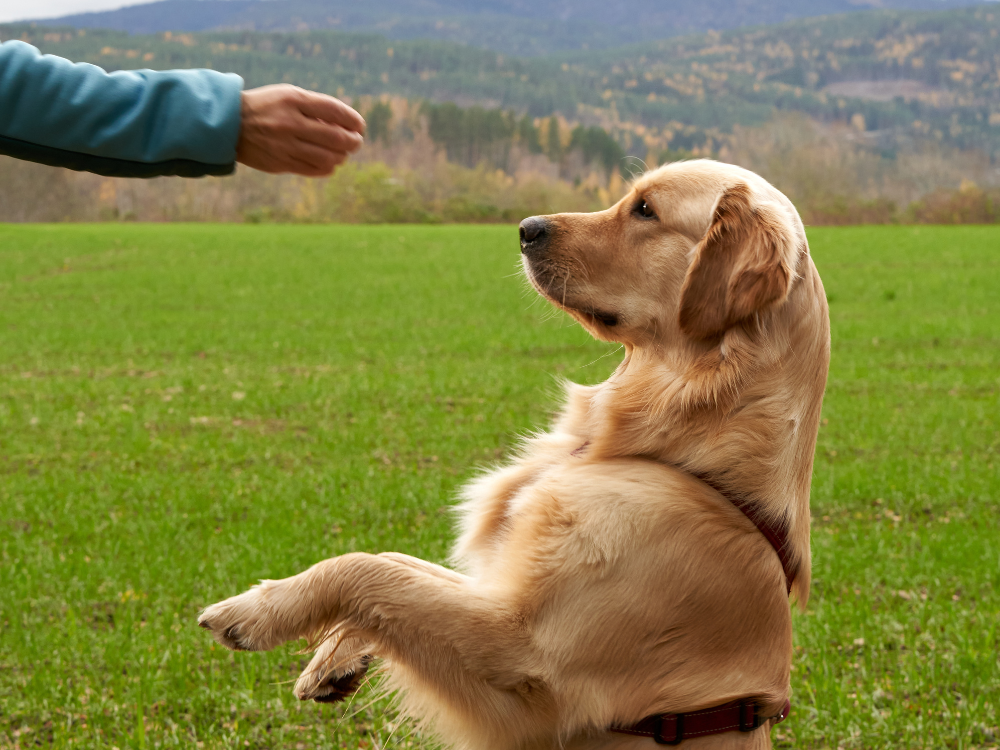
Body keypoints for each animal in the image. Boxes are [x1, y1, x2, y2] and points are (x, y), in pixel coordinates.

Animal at [197, 160, 828, 750]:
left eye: (645, 210)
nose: (526, 228)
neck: (687, 464)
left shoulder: (528, 670)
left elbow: (366, 569)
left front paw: (251, 613)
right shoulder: (501, 591)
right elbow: (397, 565)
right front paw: (334, 656)